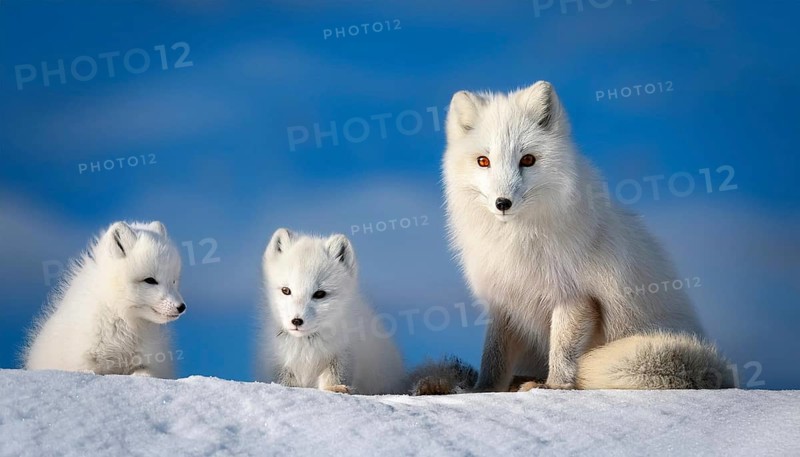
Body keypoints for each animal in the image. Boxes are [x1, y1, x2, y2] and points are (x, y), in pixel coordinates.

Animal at [23, 221, 186, 378]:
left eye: (173, 281)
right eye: (150, 280)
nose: (181, 307)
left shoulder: (152, 363)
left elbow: (145, 373)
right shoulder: (82, 361)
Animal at [256, 229, 405, 394]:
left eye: (320, 294)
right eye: (286, 290)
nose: (296, 321)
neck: (307, 345)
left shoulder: (341, 355)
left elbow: (333, 377)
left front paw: (335, 389)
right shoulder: (280, 364)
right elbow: (286, 382)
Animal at [438, 80, 734, 392]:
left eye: (528, 159)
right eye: (483, 161)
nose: (502, 203)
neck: (518, 239)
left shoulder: (576, 297)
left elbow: (562, 351)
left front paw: (554, 387)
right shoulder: (504, 302)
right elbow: (493, 359)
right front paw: (482, 390)